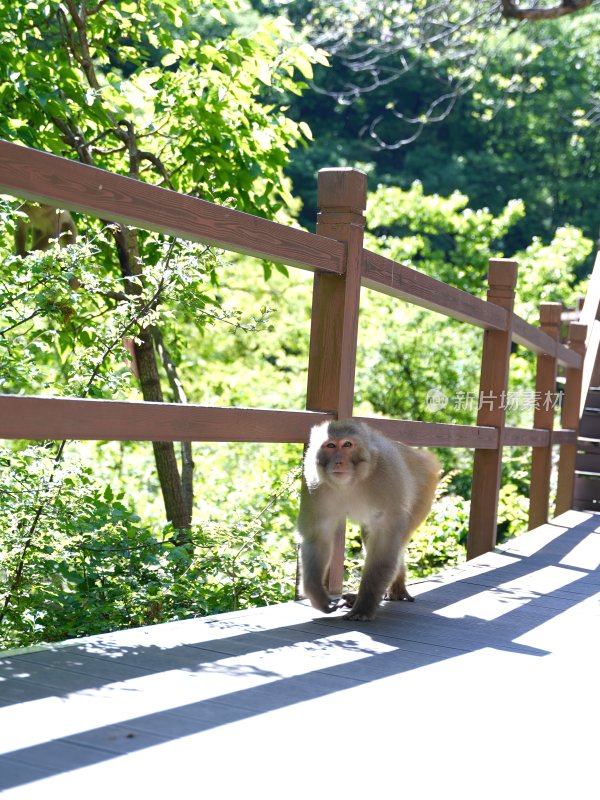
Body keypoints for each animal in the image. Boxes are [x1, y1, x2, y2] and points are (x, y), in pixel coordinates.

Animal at [298, 422, 438, 620]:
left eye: (347, 445)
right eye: (331, 445)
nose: (339, 461)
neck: (352, 481)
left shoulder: (387, 476)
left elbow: (384, 544)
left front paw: (364, 607)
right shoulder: (315, 483)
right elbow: (318, 536)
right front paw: (319, 596)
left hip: (424, 490)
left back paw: (395, 587)